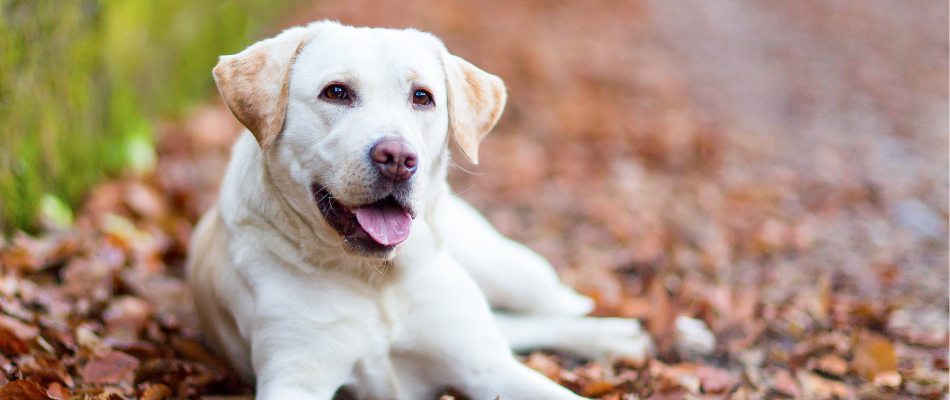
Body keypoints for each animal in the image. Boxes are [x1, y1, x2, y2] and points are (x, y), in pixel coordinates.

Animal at [188, 21, 656, 400]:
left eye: (422, 97)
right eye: (335, 92)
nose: (397, 158)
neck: (377, 280)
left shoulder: (488, 368)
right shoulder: (295, 377)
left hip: (512, 271)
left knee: (556, 307)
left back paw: (625, 333)